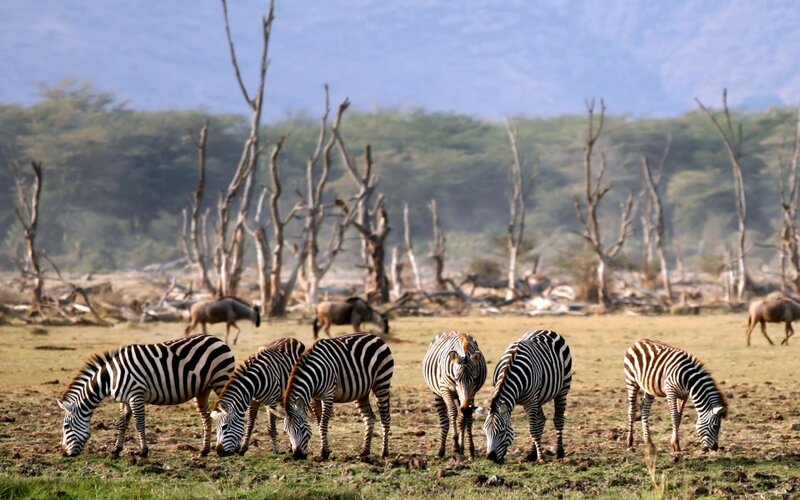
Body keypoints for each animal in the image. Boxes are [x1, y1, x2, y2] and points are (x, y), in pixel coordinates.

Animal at [57, 334, 235, 457]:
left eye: (66, 427)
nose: (64, 453)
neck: (110, 377)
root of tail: (218, 340)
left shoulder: (136, 395)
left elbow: (139, 423)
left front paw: (143, 451)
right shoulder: (124, 400)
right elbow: (122, 423)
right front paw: (116, 450)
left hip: (221, 380)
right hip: (202, 390)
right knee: (206, 417)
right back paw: (204, 450)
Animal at [273, 332, 394, 460]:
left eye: (301, 428)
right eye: (286, 431)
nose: (297, 456)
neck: (314, 375)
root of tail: (375, 336)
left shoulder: (328, 395)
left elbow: (323, 425)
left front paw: (324, 453)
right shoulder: (314, 399)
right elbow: (319, 424)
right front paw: (324, 451)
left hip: (382, 383)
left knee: (385, 418)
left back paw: (384, 452)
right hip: (362, 391)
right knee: (369, 418)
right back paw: (364, 452)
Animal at [422, 331, 487, 459]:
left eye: (475, 379)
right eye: (456, 379)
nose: (465, 408)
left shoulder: (472, 393)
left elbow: (466, 419)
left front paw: (470, 450)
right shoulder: (445, 389)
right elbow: (453, 412)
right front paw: (455, 446)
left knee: (463, 419)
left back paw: (462, 447)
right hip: (437, 393)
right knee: (444, 420)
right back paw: (441, 450)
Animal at [477, 329, 573, 464]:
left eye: (502, 432)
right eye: (485, 431)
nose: (491, 458)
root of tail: (546, 330)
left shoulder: (530, 400)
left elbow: (533, 429)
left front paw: (541, 457)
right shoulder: (530, 400)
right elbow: (534, 427)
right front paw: (535, 455)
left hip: (563, 389)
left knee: (558, 420)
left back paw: (559, 452)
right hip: (539, 397)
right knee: (541, 420)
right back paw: (532, 454)